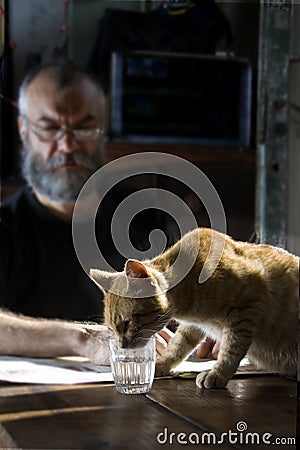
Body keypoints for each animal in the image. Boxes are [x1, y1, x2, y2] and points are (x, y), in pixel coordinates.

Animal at [90, 227, 298, 388]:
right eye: (111, 329)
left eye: (127, 324)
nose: (122, 346)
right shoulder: (193, 326)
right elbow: (177, 346)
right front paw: (161, 365)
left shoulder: (247, 308)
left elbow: (231, 350)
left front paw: (217, 374)